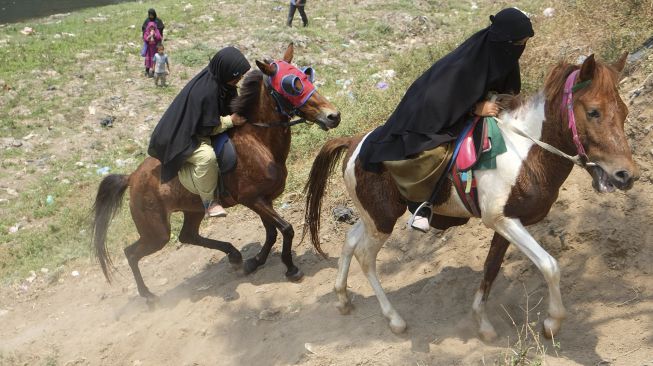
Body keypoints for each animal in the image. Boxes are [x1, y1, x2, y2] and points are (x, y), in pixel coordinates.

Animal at [91, 43, 342, 306]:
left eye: (307, 74)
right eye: (293, 85)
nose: (333, 116)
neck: (258, 141)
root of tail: (132, 177)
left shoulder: (265, 200)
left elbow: (272, 232)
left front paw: (254, 262)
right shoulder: (253, 200)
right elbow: (285, 229)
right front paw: (290, 268)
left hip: (192, 211)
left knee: (187, 236)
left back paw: (233, 255)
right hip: (156, 232)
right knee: (132, 253)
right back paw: (148, 296)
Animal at [304, 53, 636, 340]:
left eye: (623, 112)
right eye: (593, 112)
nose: (625, 175)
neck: (524, 151)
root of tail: (353, 142)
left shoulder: (507, 223)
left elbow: (491, 269)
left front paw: (483, 324)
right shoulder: (501, 220)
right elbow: (549, 266)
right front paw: (552, 323)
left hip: (374, 216)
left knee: (350, 240)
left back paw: (342, 298)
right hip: (382, 220)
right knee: (365, 256)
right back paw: (394, 319)